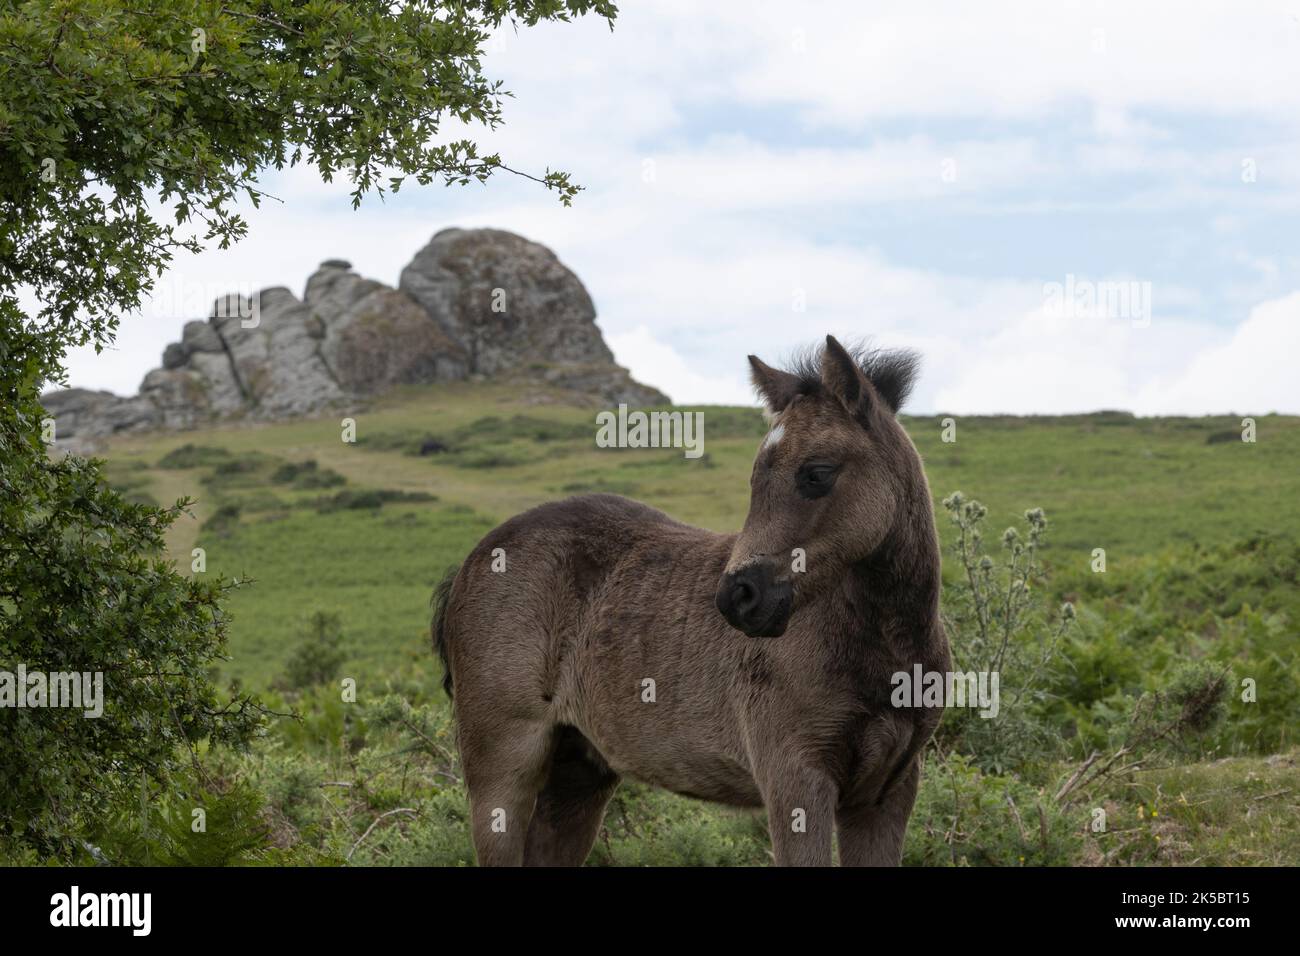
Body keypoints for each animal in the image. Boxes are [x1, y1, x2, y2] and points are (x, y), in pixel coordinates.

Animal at [432, 335, 950, 865]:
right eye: (754, 478)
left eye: (817, 473)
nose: (737, 597)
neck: (882, 643)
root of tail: (476, 559)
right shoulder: (795, 781)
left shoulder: (886, 793)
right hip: (501, 770)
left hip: (578, 772)